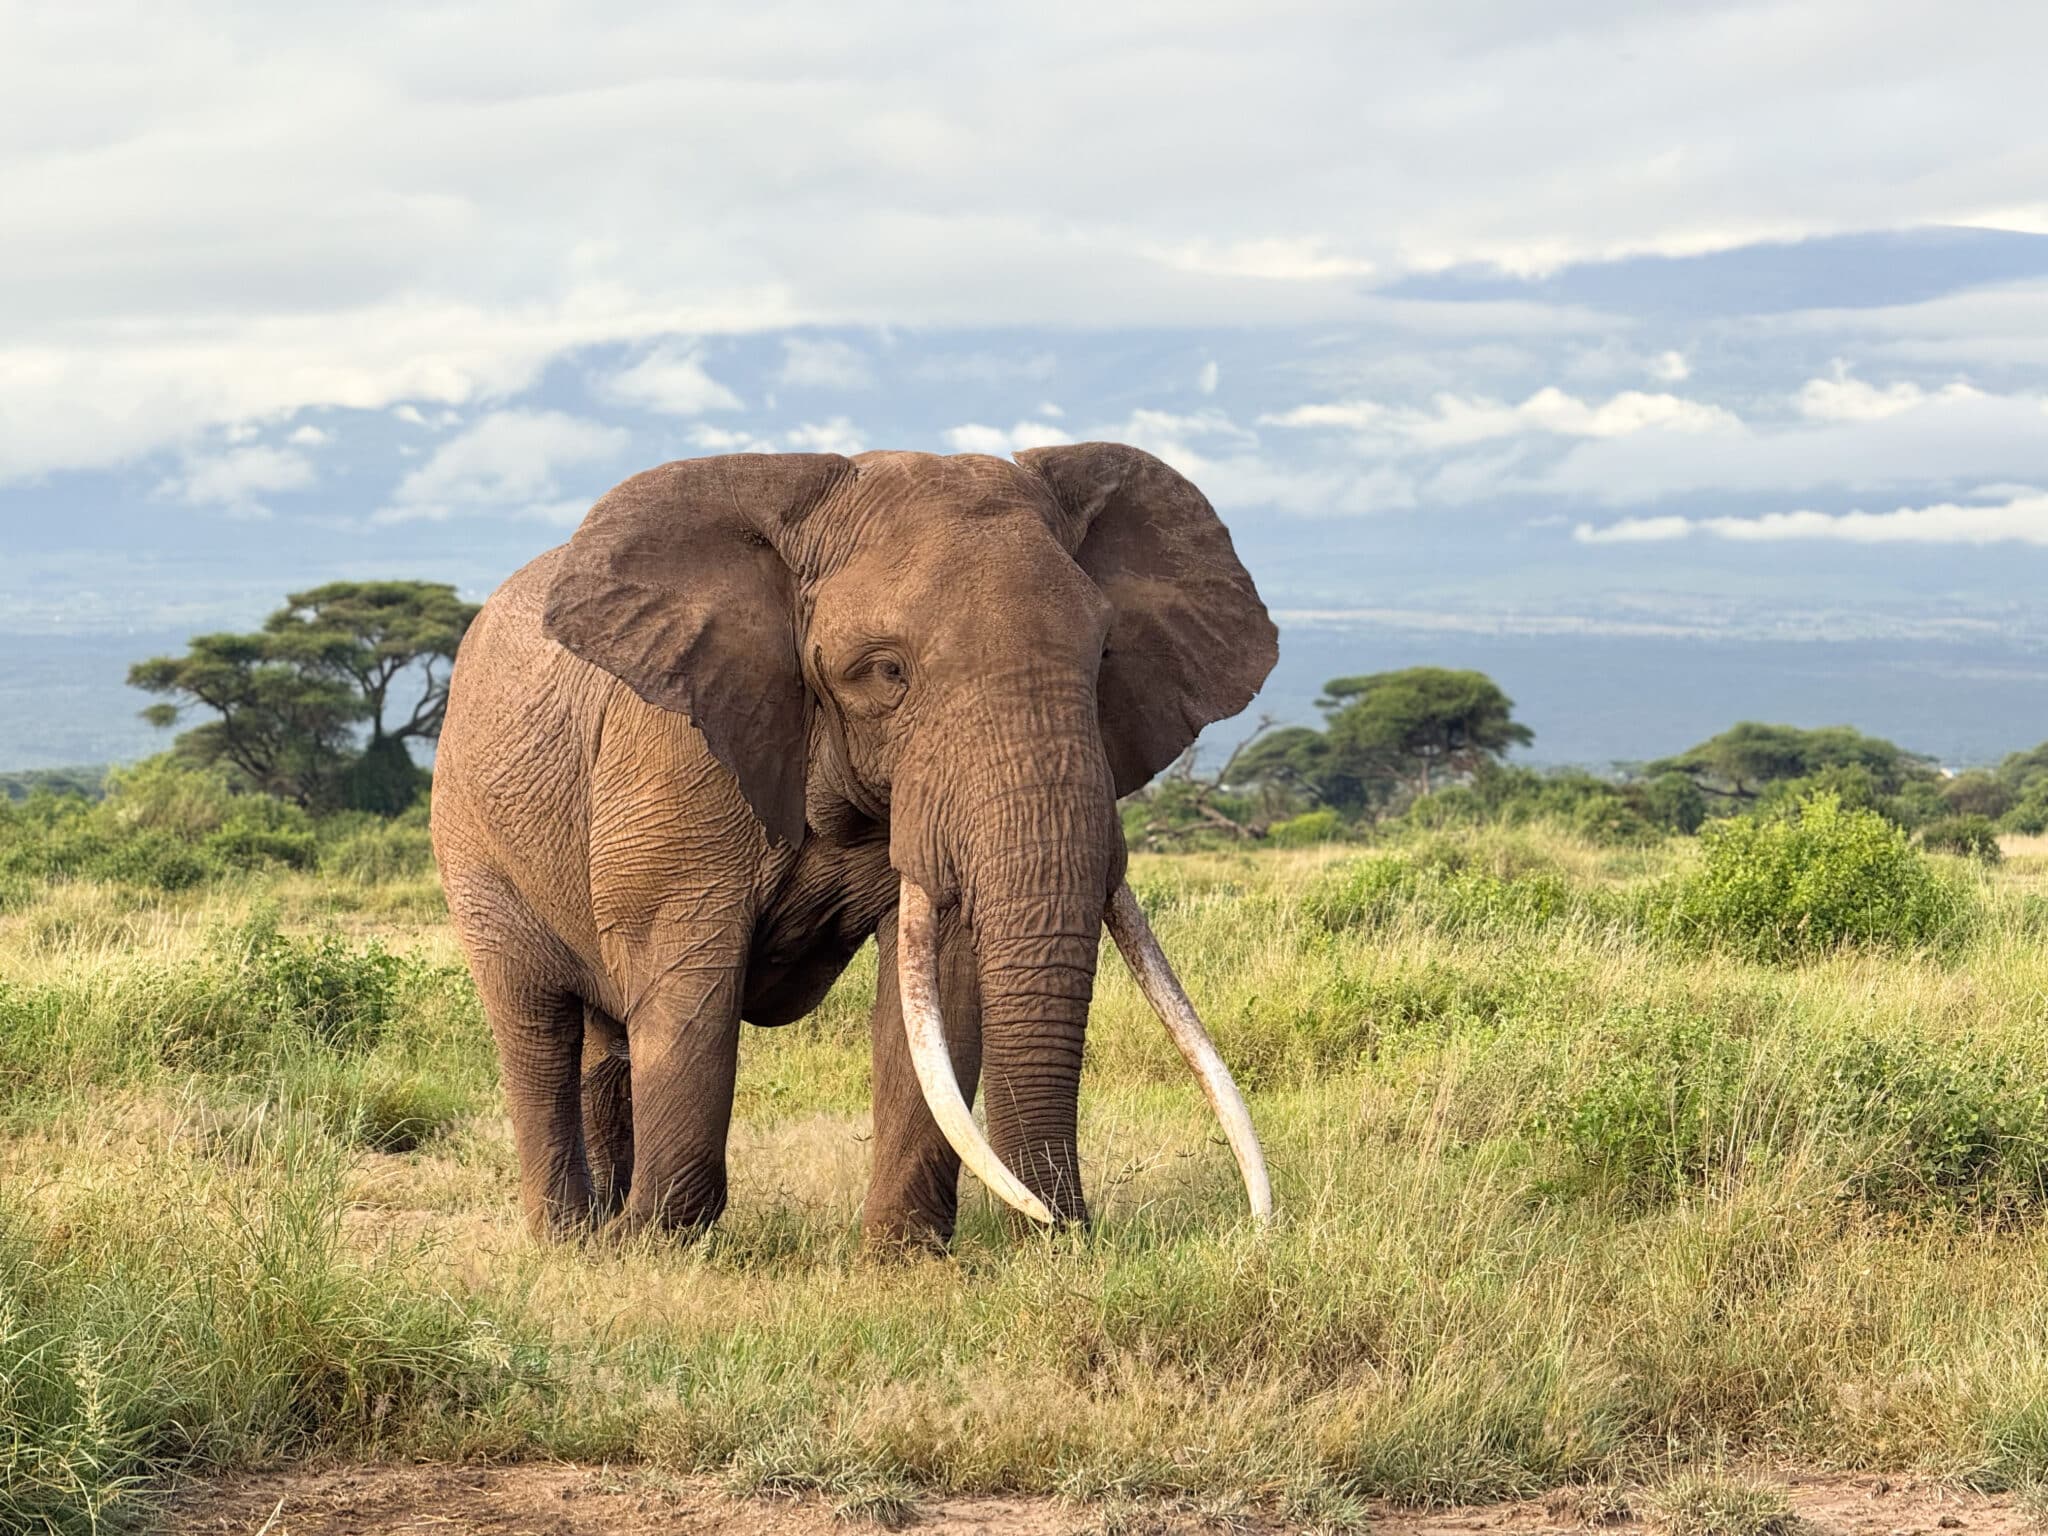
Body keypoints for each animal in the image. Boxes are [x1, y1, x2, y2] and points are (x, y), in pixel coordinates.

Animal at [429, 443, 1277, 1248]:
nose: (1064, 1229)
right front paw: (659, 1250)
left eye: (1103, 658)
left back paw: (601, 1230)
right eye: (885, 671)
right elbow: (691, 991)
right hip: (469, 836)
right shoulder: (675, 758)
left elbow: (939, 991)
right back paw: (572, 1242)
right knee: (536, 1026)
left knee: (604, 1044)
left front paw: (905, 1258)